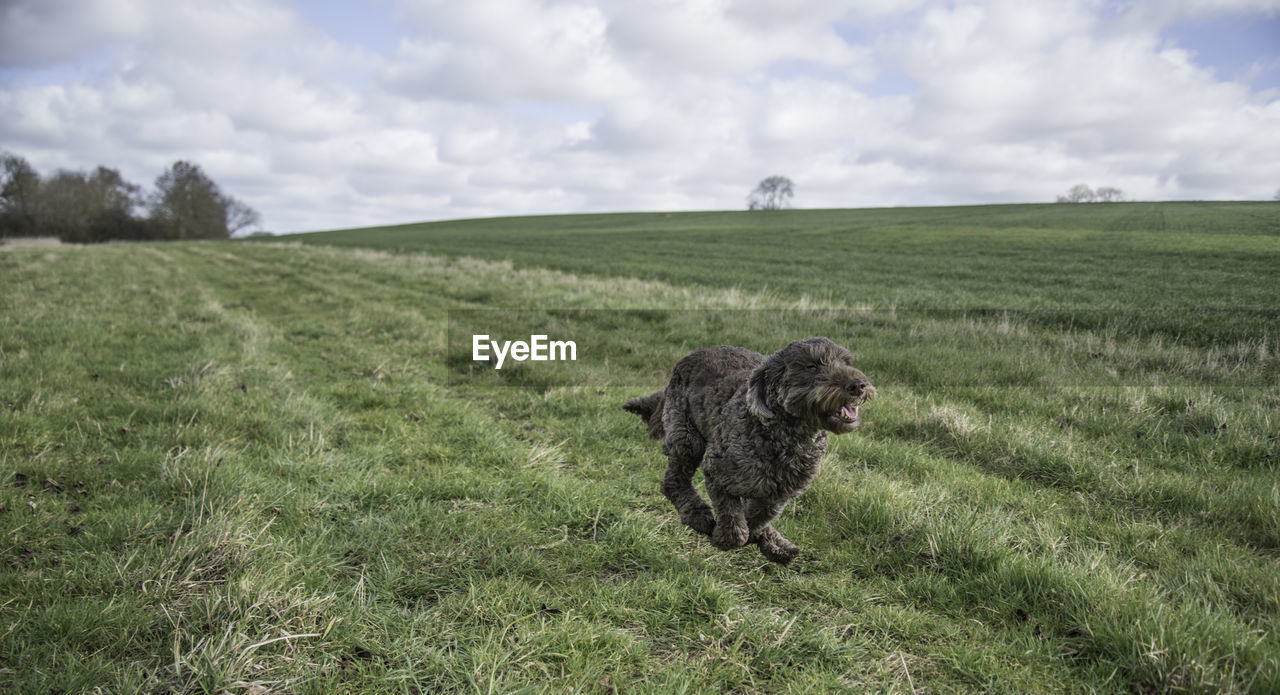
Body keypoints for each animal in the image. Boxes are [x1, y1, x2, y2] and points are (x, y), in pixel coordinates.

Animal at [624, 337, 875, 565]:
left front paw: (767, 540)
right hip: (686, 438)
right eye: (812, 367)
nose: (858, 385)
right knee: (674, 482)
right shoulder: (718, 474)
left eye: (846, 362)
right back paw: (698, 515)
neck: (785, 439)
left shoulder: (780, 493)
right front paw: (725, 538)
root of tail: (691, 356)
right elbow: (736, 522)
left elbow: (756, 517)